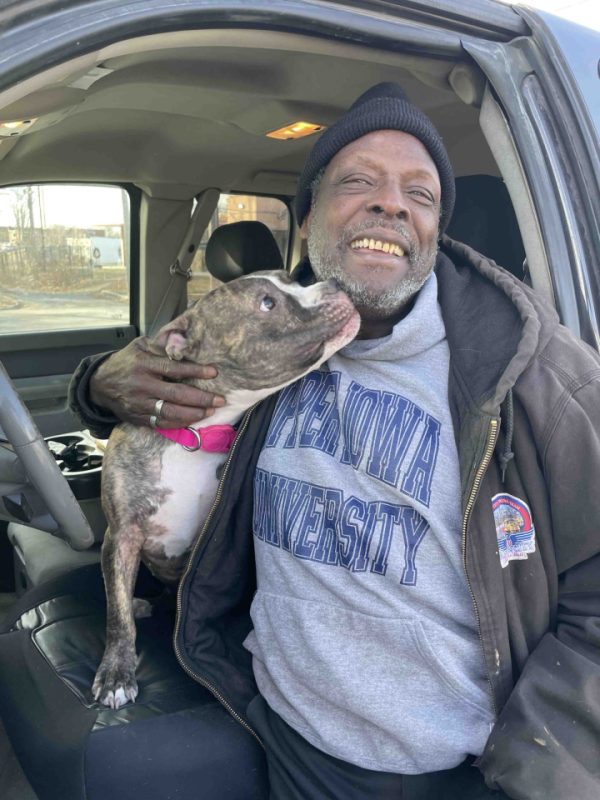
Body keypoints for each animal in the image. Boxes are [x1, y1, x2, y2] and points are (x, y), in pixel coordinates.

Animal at [91, 272, 358, 708]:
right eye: (267, 303)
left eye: (290, 279)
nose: (334, 283)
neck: (194, 436)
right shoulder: (122, 535)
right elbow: (117, 616)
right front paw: (116, 672)